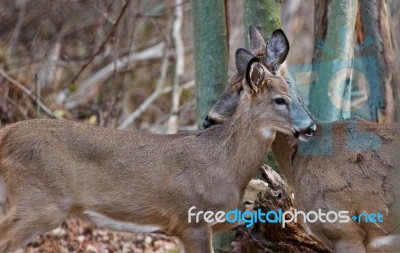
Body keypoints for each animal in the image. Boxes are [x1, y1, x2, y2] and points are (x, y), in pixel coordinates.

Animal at [0, 28, 316, 252]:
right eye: (280, 100)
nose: (311, 127)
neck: (226, 166)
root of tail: (6, 134)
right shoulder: (190, 221)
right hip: (40, 200)